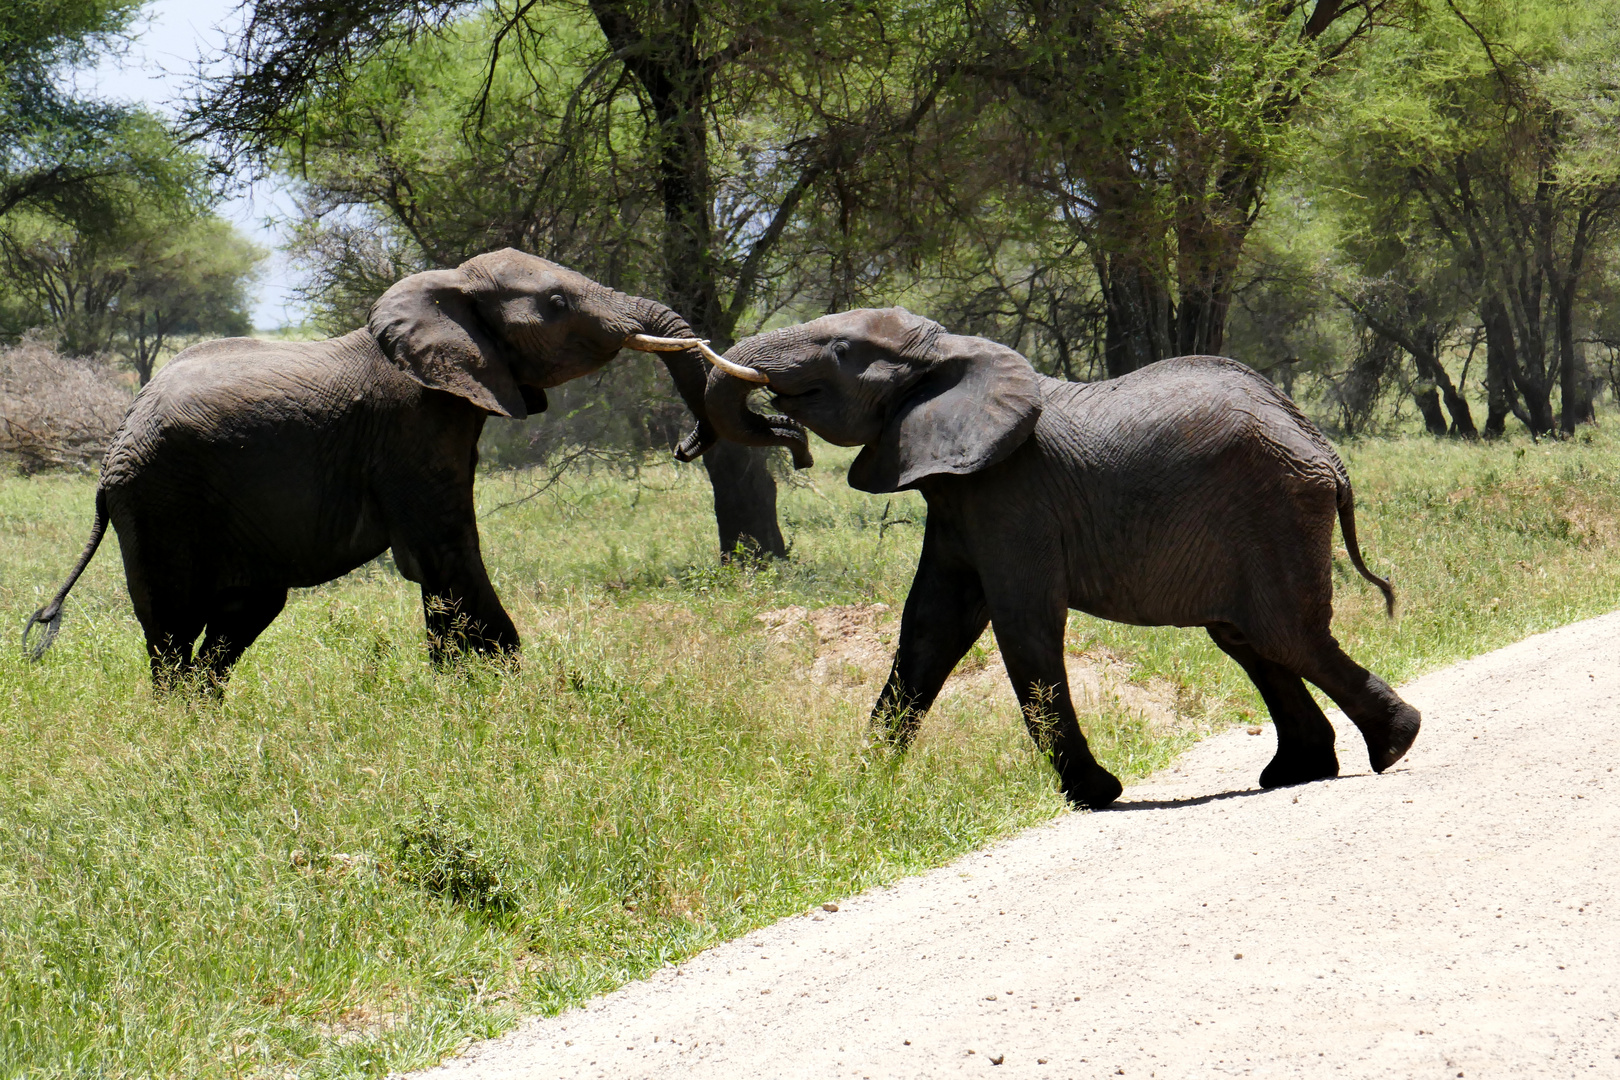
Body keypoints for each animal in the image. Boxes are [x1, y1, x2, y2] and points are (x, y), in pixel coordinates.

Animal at [17, 250, 764, 693]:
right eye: (555, 304)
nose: (685, 446)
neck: (446, 291)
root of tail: (113, 451)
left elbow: (437, 561)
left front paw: (467, 687)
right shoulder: (412, 424)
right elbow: (445, 549)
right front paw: (495, 686)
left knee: (242, 612)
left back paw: (206, 714)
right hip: (159, 501)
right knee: (171, 626)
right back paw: (178, 722)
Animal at [703, 307, 1425, 806]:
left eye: (841, 351)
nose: (789, 441)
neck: (952, 354)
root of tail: (1321, 445)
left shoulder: (1012, 494)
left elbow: (1023, 626)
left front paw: (1096, 795)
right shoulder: (959, 496)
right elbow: (930, 628)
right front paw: (862, 785)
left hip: (1277, 507)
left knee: (1284, 633)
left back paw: (1395, 743)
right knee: (1247, 637)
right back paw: (1301, 771)